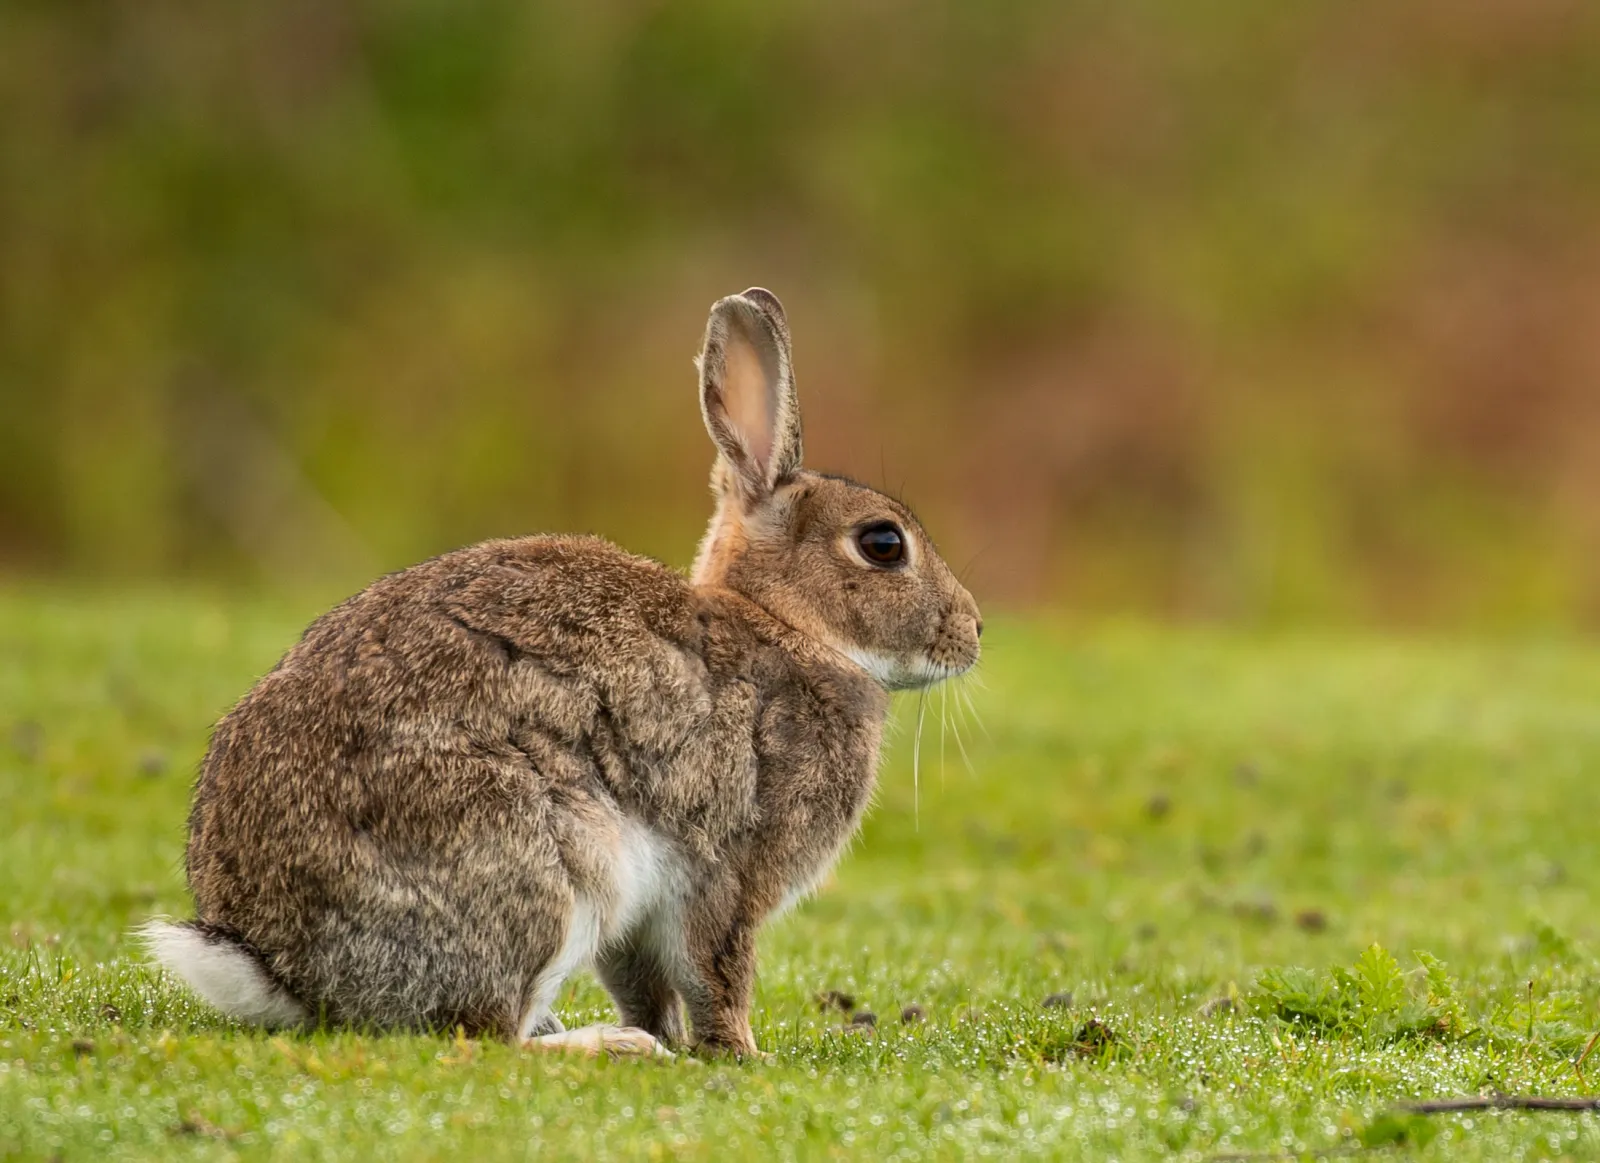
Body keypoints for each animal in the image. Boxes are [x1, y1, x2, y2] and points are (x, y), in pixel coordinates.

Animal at [143, 288, 982, 1058]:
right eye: (883, 544)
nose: (973, 631)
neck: (787, 627)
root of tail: (282, 967)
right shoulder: (728, 868)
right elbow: (717, 972)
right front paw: (739, 1052)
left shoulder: (647, 911)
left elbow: (646, 981)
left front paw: (680, 1038)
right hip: (552, 862)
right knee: (487, 1030)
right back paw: (610, 1044)